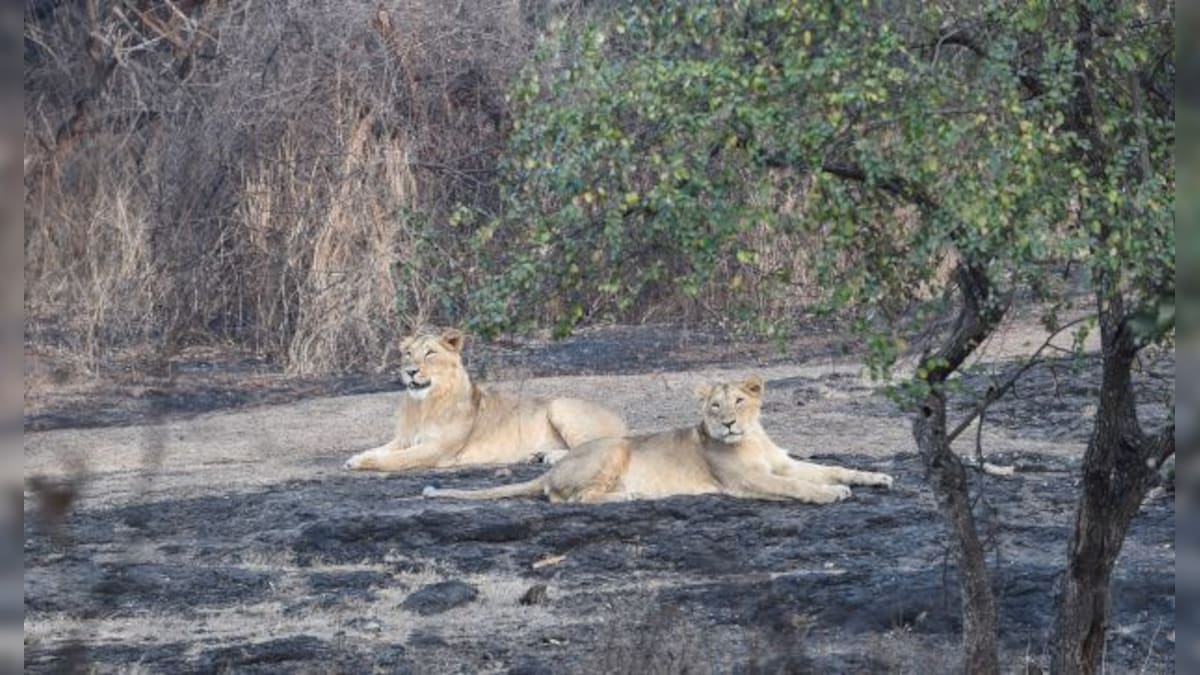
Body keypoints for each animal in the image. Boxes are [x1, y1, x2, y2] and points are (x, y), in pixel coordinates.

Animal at [340, 329, 628, 470]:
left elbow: (392, 459)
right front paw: (356, 457)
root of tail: (623, 423)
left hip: (560, 406)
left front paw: (361, 463)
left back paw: (552, 458)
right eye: (408, 353)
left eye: (430, 353)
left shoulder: (436, 449)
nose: (409, 371)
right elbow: (381, 449)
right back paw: (538, 455)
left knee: (597, 447)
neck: (423, 405)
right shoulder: (404, 439)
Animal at [427, 372, 897, 499]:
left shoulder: (782, 462)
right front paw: (830, 495)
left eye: (738, 402)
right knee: (569, 498)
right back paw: (626, 496)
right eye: (714, 407)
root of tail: (549, 471)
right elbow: (797, 487)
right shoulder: (747, 480)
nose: (727, 423)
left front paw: (875, 478)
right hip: (614, 450)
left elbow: (833, 467)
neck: (751, 437)